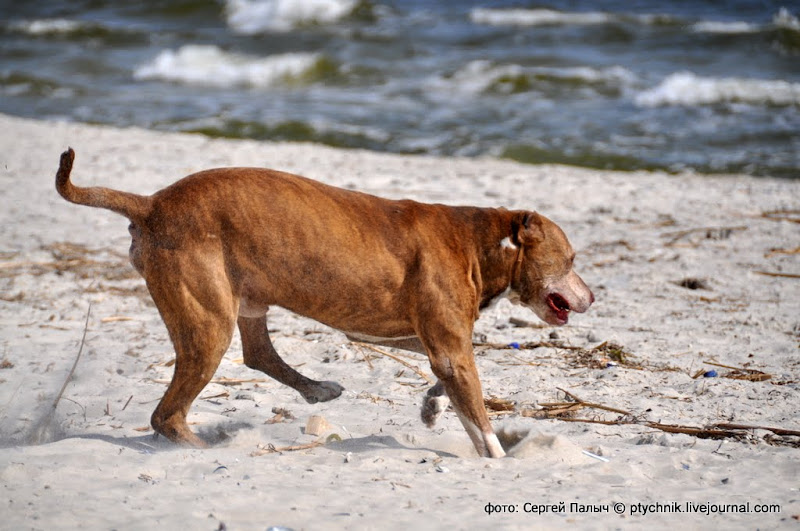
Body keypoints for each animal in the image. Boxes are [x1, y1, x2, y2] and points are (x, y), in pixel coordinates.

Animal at [56, 149, 592, 458]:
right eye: (570, 259)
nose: (592, 297)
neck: (482, 241)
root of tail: (151, 204)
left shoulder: (430, 340)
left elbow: (448, 377)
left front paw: (432, 409)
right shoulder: (449, 347)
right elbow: (480, 423)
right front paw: (498, 459)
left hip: (244, 302)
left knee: (258, 354)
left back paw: (317, 391)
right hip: (208, 324)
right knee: (167, 415)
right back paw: (205, 452)